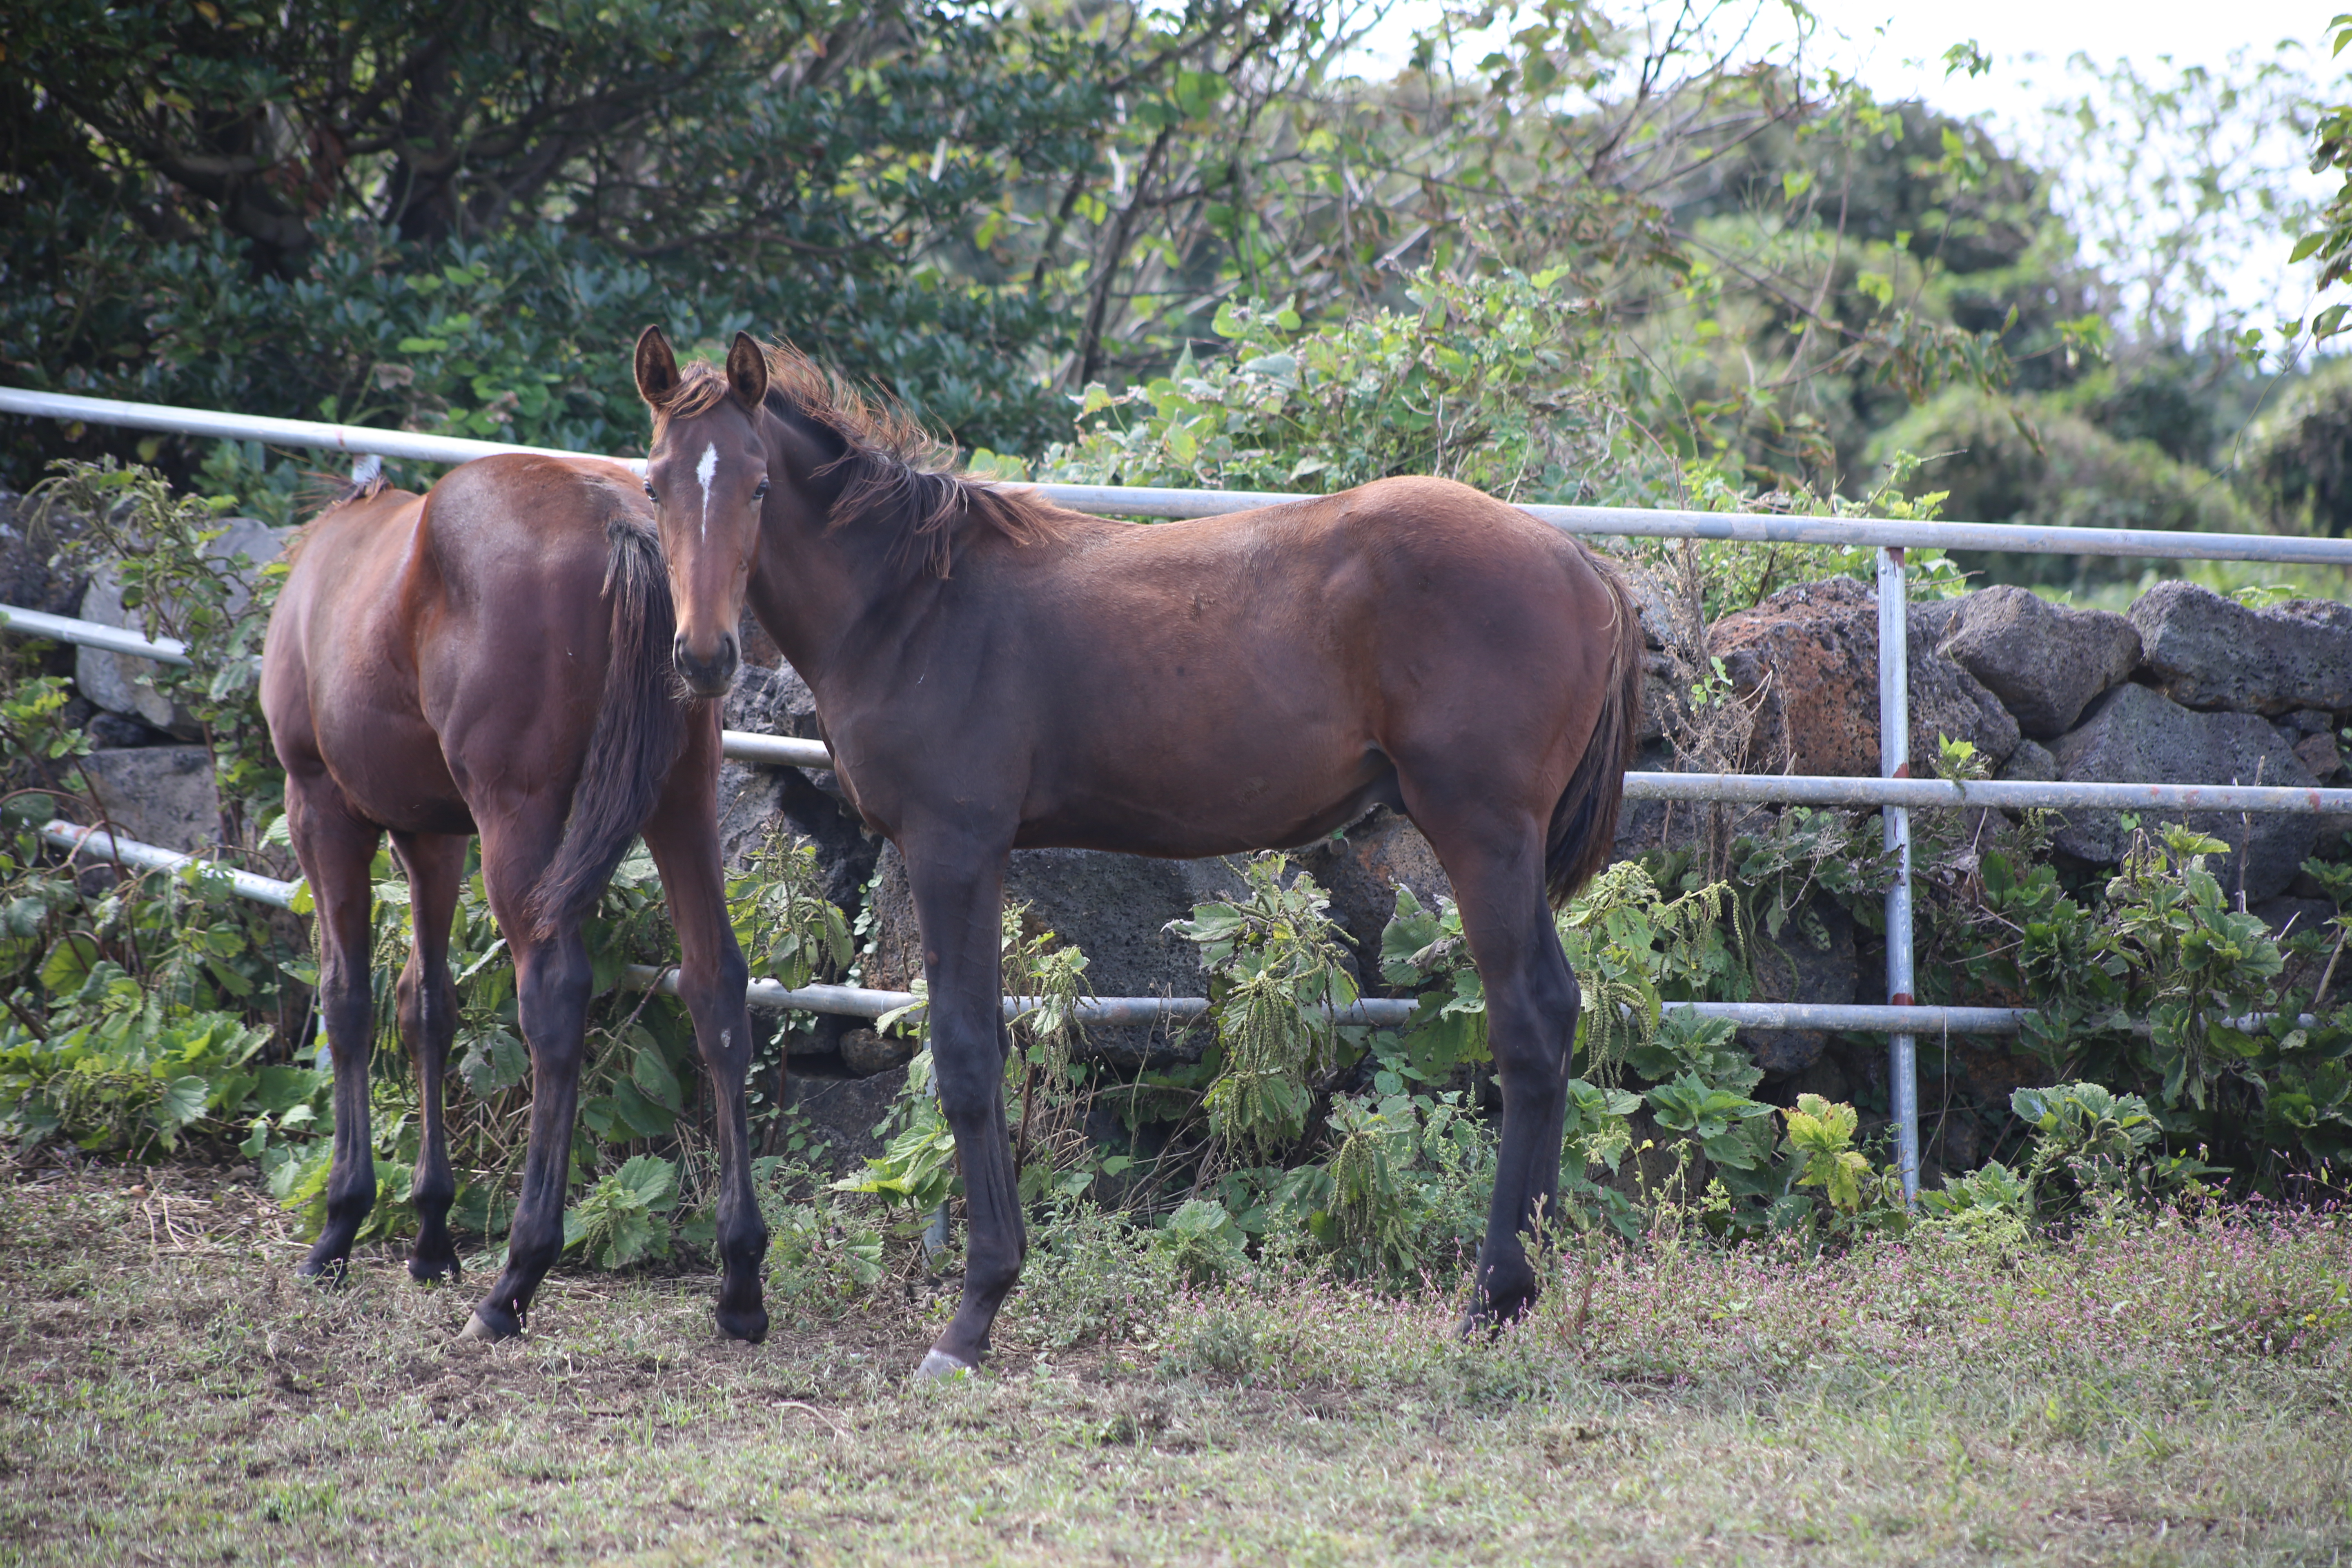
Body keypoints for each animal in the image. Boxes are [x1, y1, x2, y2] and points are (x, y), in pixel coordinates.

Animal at [261, 451, 766, 1335]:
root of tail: (617, 519)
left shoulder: (321, 809)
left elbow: (348, 999)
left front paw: (341, 1224)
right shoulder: (433, 835)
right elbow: (426, 1005)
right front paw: (430, 1232)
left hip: (516, 824)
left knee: (555, 999)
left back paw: (518, 1276)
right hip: (682, 802)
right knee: (716, 988)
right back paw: (739, 1280)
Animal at [635, 329, 1646, 1373]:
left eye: (759, 484)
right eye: (655, 482)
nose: (703, 657)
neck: (912, 602)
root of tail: (1576, 562)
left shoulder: (952, 845)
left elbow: (965, 1057)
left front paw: (974, 1311)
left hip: (1481, 832)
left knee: (1526, 1022)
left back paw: (1492, 1295)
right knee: (1556, 1008)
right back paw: (1519, 1285)